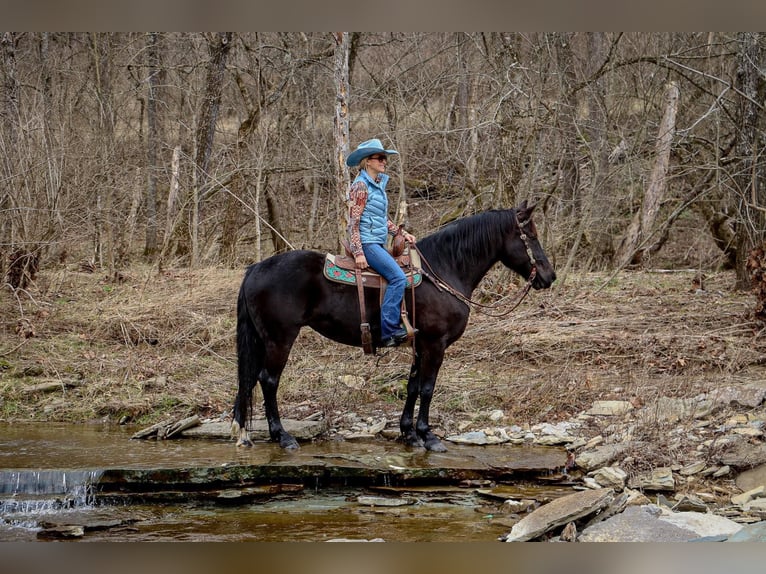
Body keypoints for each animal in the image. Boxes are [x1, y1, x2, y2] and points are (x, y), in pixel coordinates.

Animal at [234, 202, 560, 454]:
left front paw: (409, 434)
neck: (443, 270)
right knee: (268, 380)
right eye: (531, 235)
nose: (549, 276)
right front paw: (428, 436)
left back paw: (244, 433)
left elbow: (413, 386)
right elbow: (428, 388)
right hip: (280, 339)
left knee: (249, 379)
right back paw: (282, 436)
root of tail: (255, 268)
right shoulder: (435, 344)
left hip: (263, 340)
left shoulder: (420, 344)